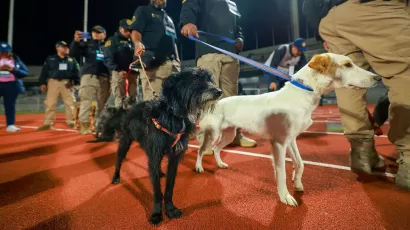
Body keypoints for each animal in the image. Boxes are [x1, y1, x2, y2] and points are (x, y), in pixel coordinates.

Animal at [111, 68, 221, 225]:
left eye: (209, 79)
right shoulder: (155, 155)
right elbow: (157, 190)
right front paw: (157, 213)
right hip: (125, 142)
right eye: (196, 79)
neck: (173, 115)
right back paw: (116, 177)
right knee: (119, 160)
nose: (219, 91)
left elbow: (169, 186)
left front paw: (170, 209)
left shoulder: (173, 158)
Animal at [195, 53, 382, 207]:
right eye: (348, 64)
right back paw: (198, 168)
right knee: (201, 150)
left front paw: (297, 183)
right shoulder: (278, 143)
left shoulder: (291, 139)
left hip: (229, 134)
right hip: (213, 133)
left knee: (216, 148)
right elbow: (281, 173)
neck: (301, 95)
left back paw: (220, 164)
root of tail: (213, 102)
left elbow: (300, 164)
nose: (378, 77)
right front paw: (285, 196)